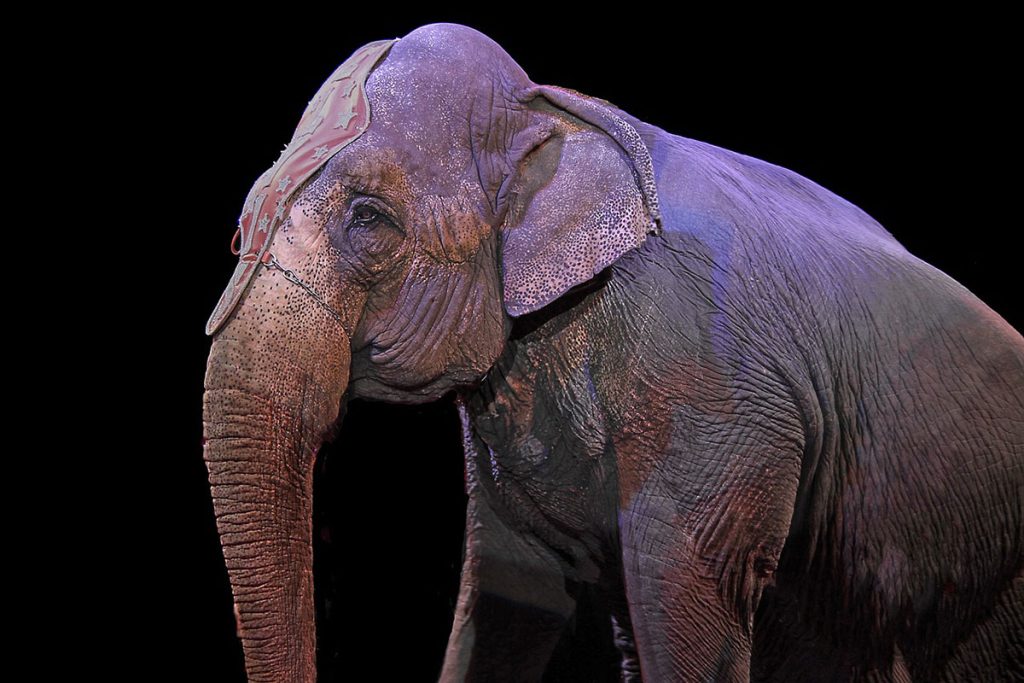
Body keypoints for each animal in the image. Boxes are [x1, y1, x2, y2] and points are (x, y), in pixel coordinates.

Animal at [201, 22, 1023, 682]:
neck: (548, 107)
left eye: (369, 220)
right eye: (243, 224)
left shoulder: (708, 379)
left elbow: (680, 588)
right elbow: (508, 581)